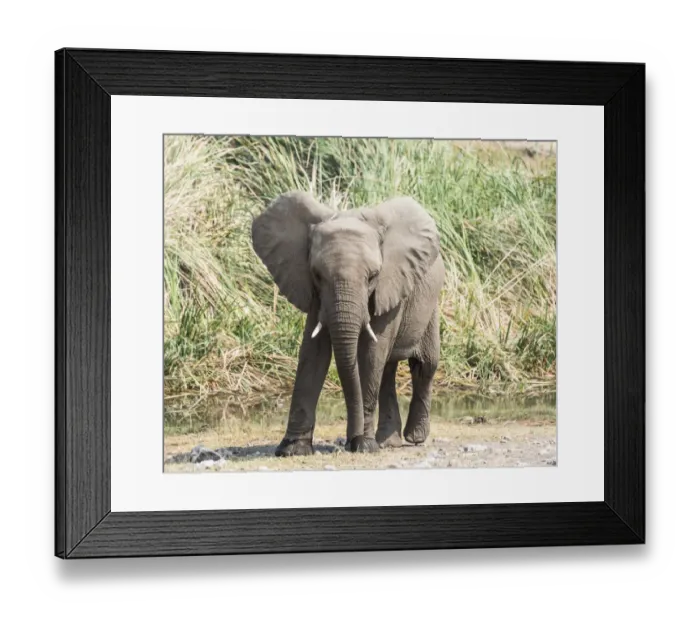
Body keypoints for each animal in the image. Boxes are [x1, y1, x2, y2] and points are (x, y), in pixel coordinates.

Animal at [252, 191, 444, 455]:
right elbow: (313, 351)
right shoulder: (314, 292)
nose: (349, 441)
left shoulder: (390, 284)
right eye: (317, 275)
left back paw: (413, 438)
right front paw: (292, 449)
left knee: (424, 364)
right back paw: (387, 442)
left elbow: (371, 352)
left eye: (373, 276)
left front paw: (363, 445)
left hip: (430, 305)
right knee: (388, 370)